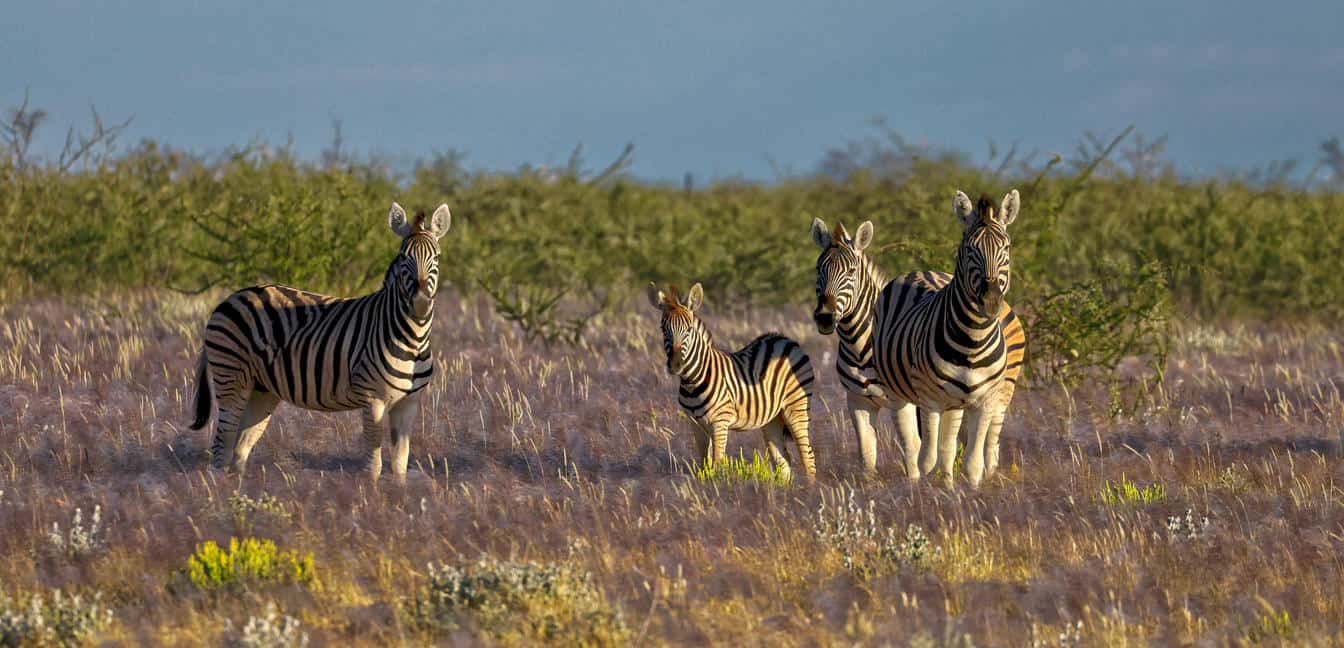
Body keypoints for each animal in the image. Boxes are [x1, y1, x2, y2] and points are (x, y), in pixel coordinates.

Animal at [188, 201, 451, 480]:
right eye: (403, 257)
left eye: (437, 257)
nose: (420, 302)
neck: (413, 338)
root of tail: (229, 298)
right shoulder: (373, 399)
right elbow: (373, 465)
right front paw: (371, 492)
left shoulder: (408, 403)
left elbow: (400, 464)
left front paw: (397, 492)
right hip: (231, 376)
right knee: (222, 445)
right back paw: (221, 488)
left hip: (262, 389)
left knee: (240, 447)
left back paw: (241, 489)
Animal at [647, 282, 817, 480]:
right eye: (663, 329)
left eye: (688, 329)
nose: (675, 365)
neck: (692, 381)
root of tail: (785, 339)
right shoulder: (695, 424)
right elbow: (704, 465)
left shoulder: (720, 422)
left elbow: (717, 464)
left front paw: (721, 485)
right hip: (773, 418)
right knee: (783, 461)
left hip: (796, 407)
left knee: (808, 457)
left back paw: (810, 488)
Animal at [871, 190, 1027, 487]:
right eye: (969, 250)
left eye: (1007, 248)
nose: (991, 302)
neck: (974, 340)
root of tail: (921, 270)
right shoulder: (930, 400)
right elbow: (927, 457)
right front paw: (924, 493)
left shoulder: (984, 401)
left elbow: (972, 462)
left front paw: (966, 492)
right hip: (899, 391)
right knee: (913, 444)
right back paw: (916, 482)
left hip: (960, 401)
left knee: (949, 445)